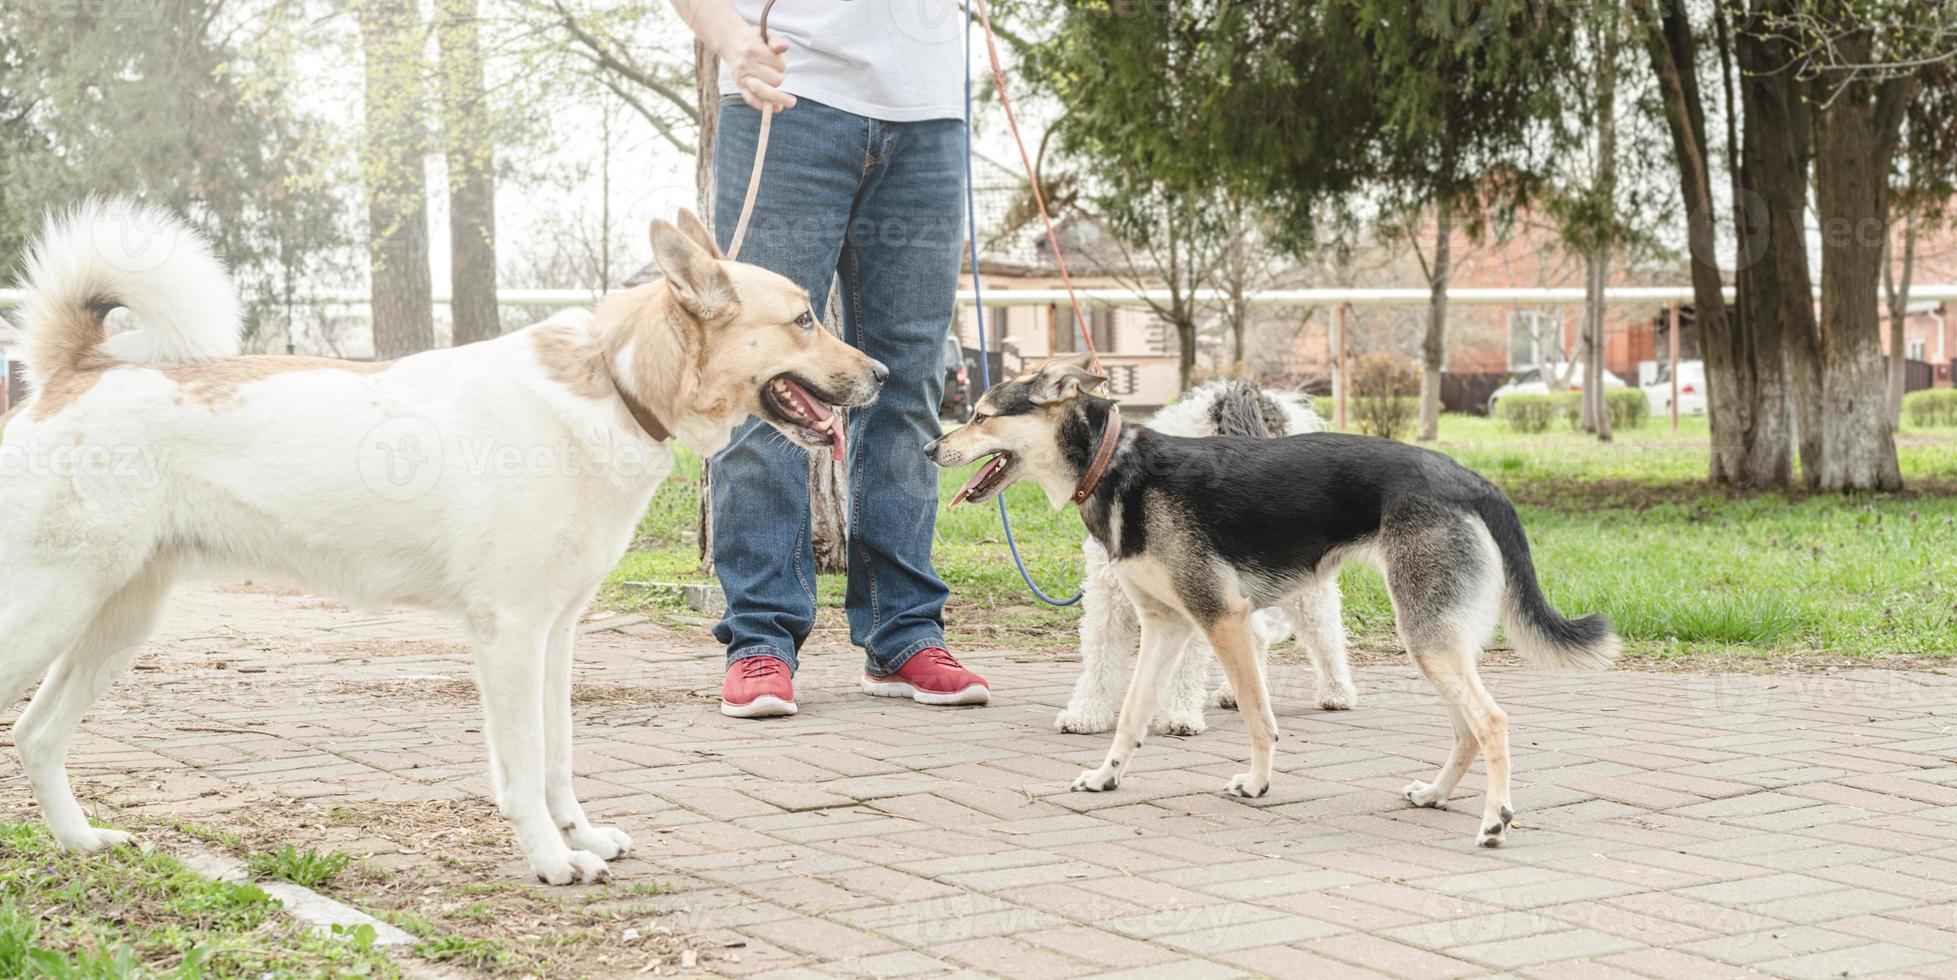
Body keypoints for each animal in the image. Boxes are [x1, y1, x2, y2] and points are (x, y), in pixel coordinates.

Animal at [0, 198, 888, 880]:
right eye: (804, 319)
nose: (881, 375)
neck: (612, 382)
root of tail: (74, 372)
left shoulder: (556, 636)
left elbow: (557, 760)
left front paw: (581, 837)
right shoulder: (510, 636)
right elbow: (523, 771)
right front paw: (551, 861)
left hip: (117, 625)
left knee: (37, 734)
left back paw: (81, 842)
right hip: (50, 612)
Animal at [1056, 381, 1362, 735]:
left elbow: (1185, 667)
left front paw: (1179, 715)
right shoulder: (1109, 602)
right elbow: (1101, 658)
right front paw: (1085, 714)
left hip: (1303, 592)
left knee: (1326, 634)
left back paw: (1337, 691)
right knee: (1256, 638)